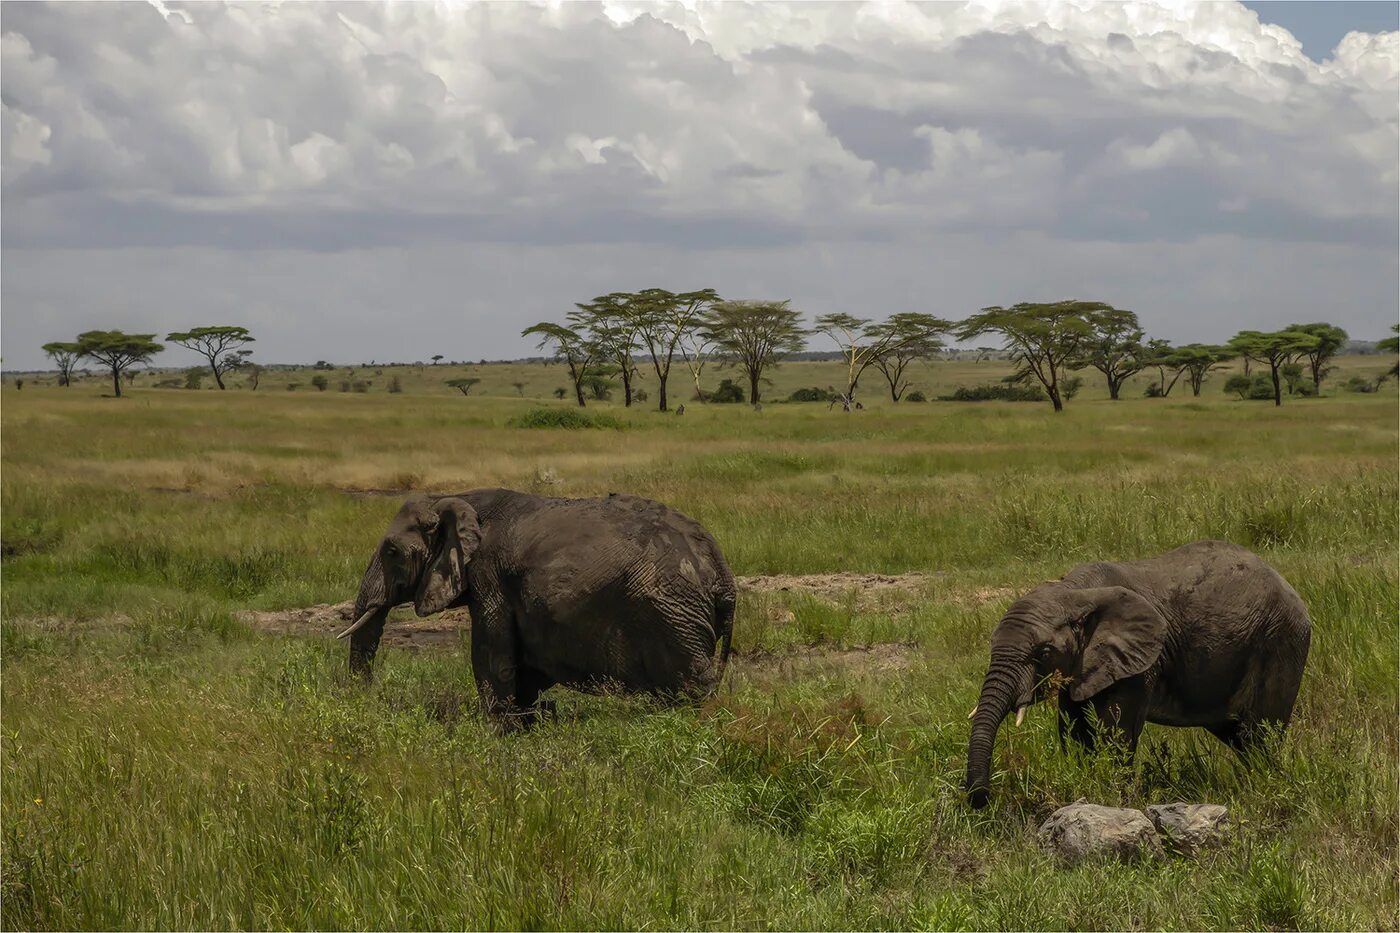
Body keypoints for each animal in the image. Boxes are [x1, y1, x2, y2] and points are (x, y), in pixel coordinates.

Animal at [968, 537, 1304, 806]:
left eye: (1043, 653)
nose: (981, 800)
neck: (1075, 592)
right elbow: (1074, 729)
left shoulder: (1140, 664)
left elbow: (1116, 732)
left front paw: (1115, 799)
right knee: (1240, 737)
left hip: (1280, 642)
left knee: (1261, 734)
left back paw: (1266, 787)